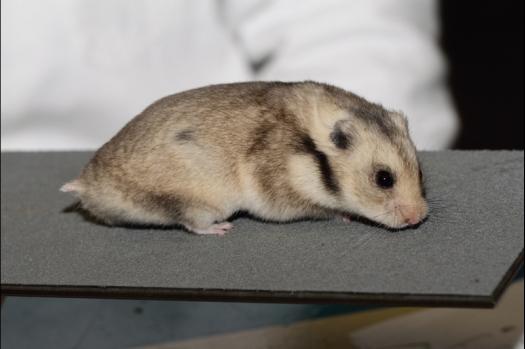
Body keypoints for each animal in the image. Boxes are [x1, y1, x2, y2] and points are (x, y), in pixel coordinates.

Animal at [61, 81, 428, 234]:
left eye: (421, 174)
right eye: (383, 179)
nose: (418, 218)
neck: (311, 150)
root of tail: (88, 186)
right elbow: (327, 209)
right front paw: (347, 215)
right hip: (198, 201)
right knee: (192, 223)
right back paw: (222, 229)